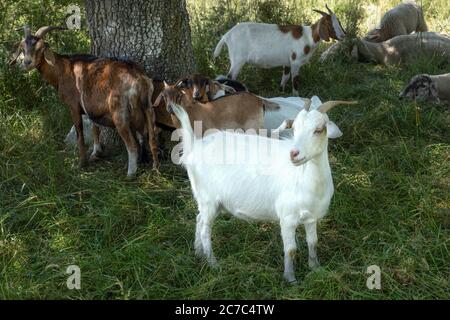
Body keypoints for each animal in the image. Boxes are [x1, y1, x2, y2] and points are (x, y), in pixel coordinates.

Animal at [8, 25, 160, 178]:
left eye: (40, 48)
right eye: (23, 48)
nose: (27, 63)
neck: (63, 70)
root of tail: (139, 79)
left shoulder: (73, 105)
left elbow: (80, 134)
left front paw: (81, 163)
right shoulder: (90, 106)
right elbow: (94, 127)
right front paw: (95, 153)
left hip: (120, 114)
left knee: (132, 145)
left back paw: (130, 174)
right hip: (148, 108)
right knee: (151, 139)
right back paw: (154, 168)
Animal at [167, 94, 356, 282]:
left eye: (319, 129)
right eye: (294, 128)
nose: (293, 154)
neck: (306, 178)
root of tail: (194, 147)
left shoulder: (311, 217)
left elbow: (313, 242)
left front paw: (316, 268)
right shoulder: (287, 218)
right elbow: (291, 249)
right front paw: (290, 279)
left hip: (209, 201)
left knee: (199, 219)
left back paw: (198, 253)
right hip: (208, 199)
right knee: (205, 229)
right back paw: (213, 263)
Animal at [213, 5, 346, 95]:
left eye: (338, 21)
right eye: (329, 24)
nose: (343, 35)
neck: (308, 36)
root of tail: (227, 35)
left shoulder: (287, 62)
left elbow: (285, 78)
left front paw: (281, 92)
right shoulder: (295, 61)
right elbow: (295, 81)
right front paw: (296, 96)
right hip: (237, 60)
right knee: (230, 76)